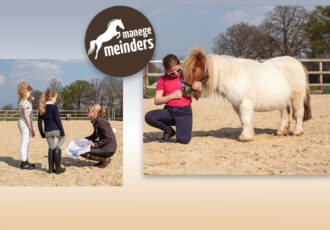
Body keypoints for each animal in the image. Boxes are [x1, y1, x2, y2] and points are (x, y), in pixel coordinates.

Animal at [182, 48, 310, 141]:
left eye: (193, 69)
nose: (184, 89)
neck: (233, 77)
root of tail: (298, 64)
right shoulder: (236, 105)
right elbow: (244, 120)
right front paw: (247, 134)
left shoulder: (245, 102)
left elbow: (245, 119)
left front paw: (245, 137)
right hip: (282, 100)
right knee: (285, 115)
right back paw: (281, 132)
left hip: (297, 97)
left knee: (299, 113)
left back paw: (298, 132)